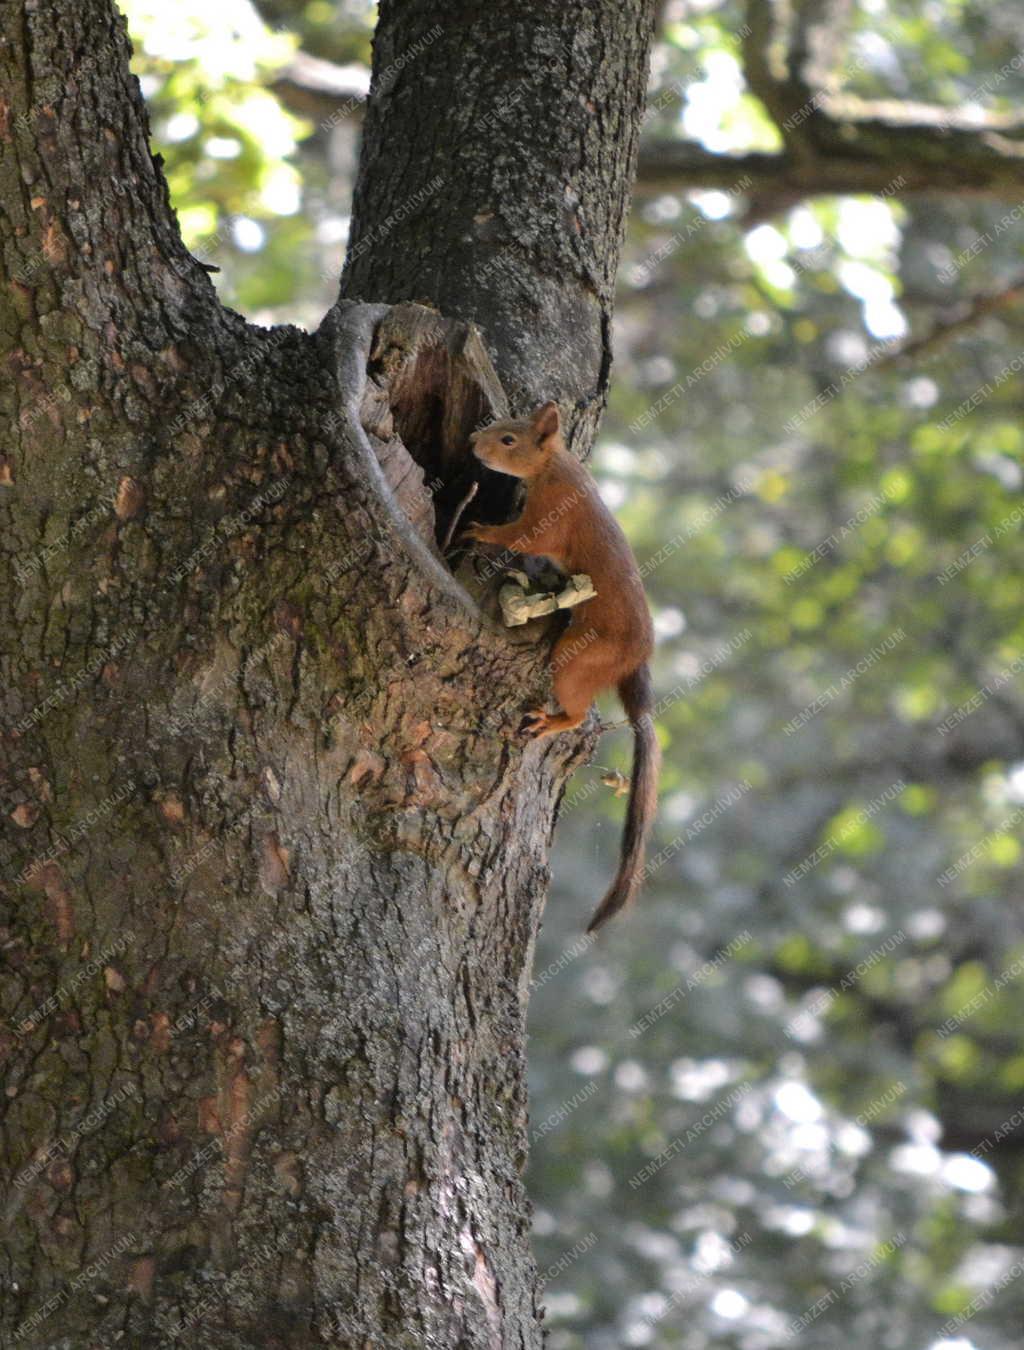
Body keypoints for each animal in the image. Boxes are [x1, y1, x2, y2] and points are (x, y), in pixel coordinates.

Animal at [461, 394, 655, 934]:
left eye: (509, 439)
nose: (473, 443)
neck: (554, 467)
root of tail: (637, 659)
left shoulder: (552, 518)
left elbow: (526, 538)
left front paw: (481, 529)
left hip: (580, 660)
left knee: (576, 711)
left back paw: (551, 721)